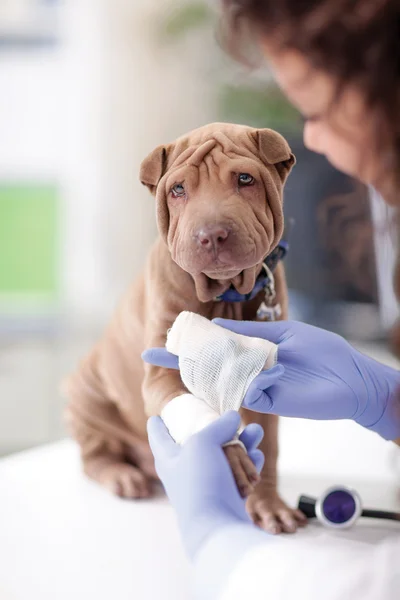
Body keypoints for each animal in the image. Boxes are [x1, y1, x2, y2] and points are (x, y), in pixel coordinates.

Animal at [64, 122, 304, 536]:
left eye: (245, 179)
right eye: (177, 189)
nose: (211, 234)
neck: (225, 290)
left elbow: (269, 445)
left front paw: (269, 503)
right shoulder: (161, 374)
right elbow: (189, 406)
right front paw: (224, 456)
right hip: (85, 397)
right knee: (93, 454)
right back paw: (121, 475)